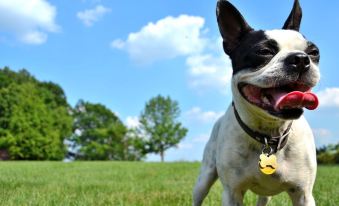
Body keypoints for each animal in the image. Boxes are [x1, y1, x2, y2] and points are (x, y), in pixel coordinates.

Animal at [194, 0, 322, 205]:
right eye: (264, 52)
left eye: (314, 52)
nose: (301, 59)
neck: (269, 135)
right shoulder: (231, 193)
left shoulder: (304, 194)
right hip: (204, 177)